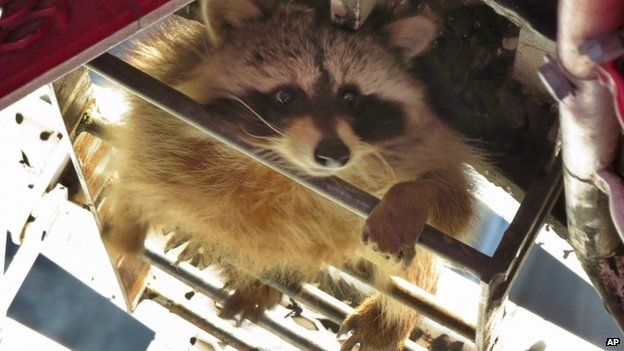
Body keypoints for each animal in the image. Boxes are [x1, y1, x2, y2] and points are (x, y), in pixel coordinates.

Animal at [105, 1, 480, 350]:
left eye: (350, 98)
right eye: (286, 96)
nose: (334, 154)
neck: (290, 170)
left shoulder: (429, 144)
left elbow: (452, 204)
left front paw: (410, 196)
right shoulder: (169, 83)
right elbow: (145, 156)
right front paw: (129, 225)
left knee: (418, 273)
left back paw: (389, 318)